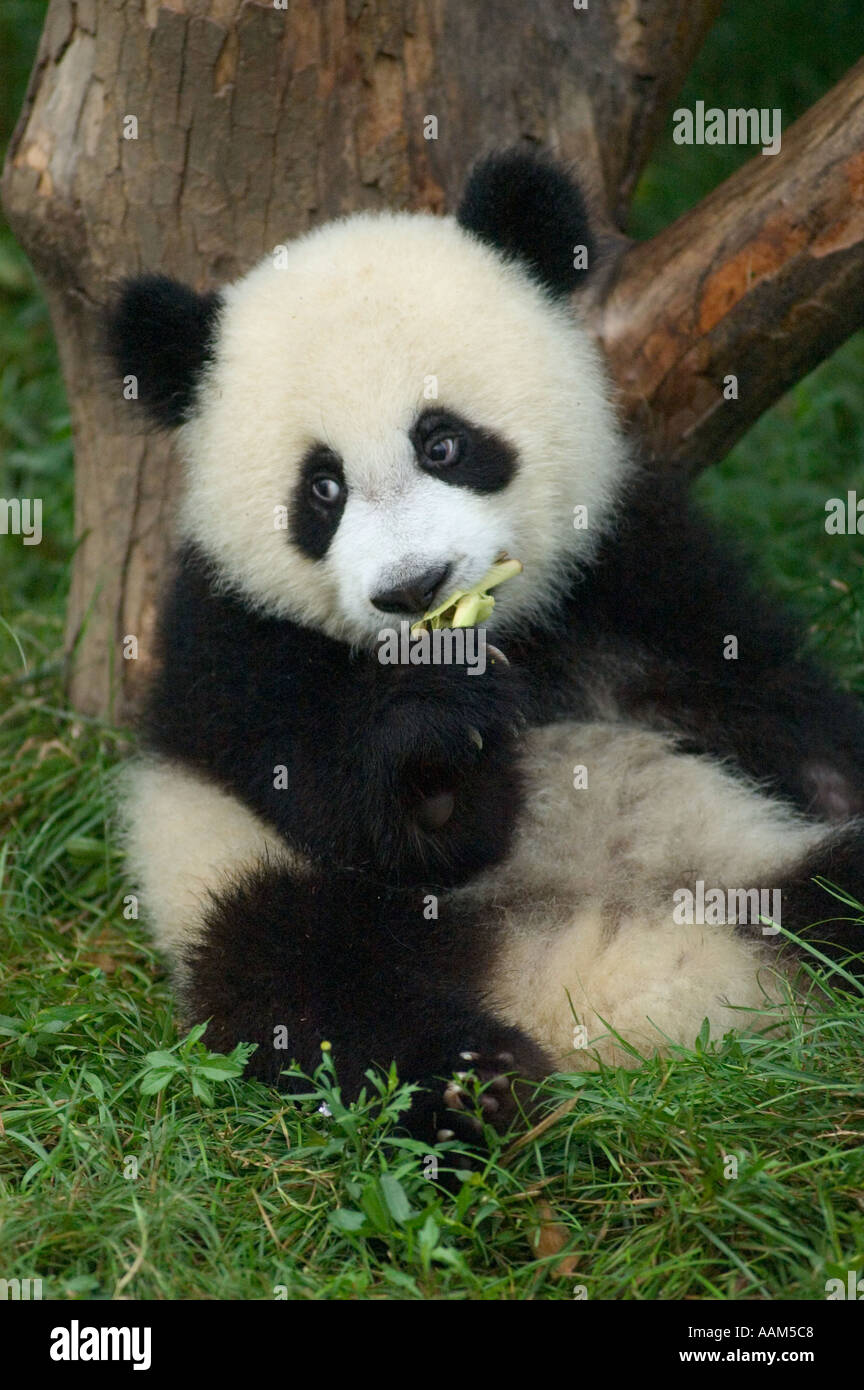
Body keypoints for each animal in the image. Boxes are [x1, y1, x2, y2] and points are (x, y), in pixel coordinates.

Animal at [109, 149, 864, 1150]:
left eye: (444, 442)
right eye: (321, 489)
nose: (414, 586)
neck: (499, 636)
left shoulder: (626, 564)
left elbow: (762, 695)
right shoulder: (228, 641)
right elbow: (328, 790)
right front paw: (435, 750)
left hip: (750, 865)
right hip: (239, 884)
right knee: (304, 979)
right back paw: (477, 1084)